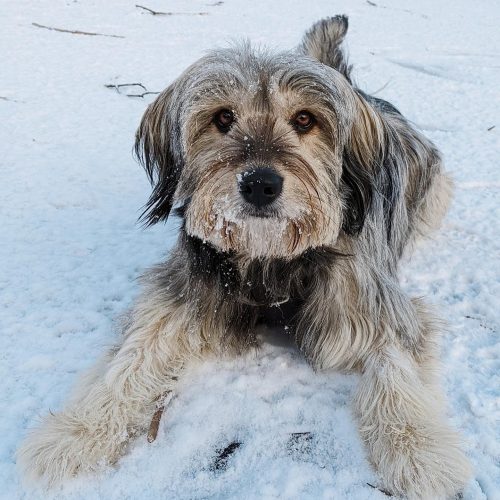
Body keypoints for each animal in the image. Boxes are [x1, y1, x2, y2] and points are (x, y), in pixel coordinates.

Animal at [17, 16, 472, 500]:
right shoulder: (180, 296)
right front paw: (75, 433)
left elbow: (396, 367)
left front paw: (419, 451)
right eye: (223, 118)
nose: (260, 184)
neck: (269, 259)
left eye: (306, 119)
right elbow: (130, 359)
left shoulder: (372, 302)